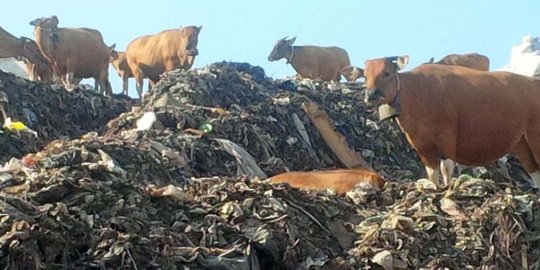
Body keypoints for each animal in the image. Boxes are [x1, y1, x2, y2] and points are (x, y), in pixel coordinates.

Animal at [362, 55, 540, 187]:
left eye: (387, 73)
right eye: (365, 75)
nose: (371, 94)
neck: (415, 93)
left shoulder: (447, 138)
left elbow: (446, 169)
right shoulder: (421, 144)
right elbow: (432, 174)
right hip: (522, 144)